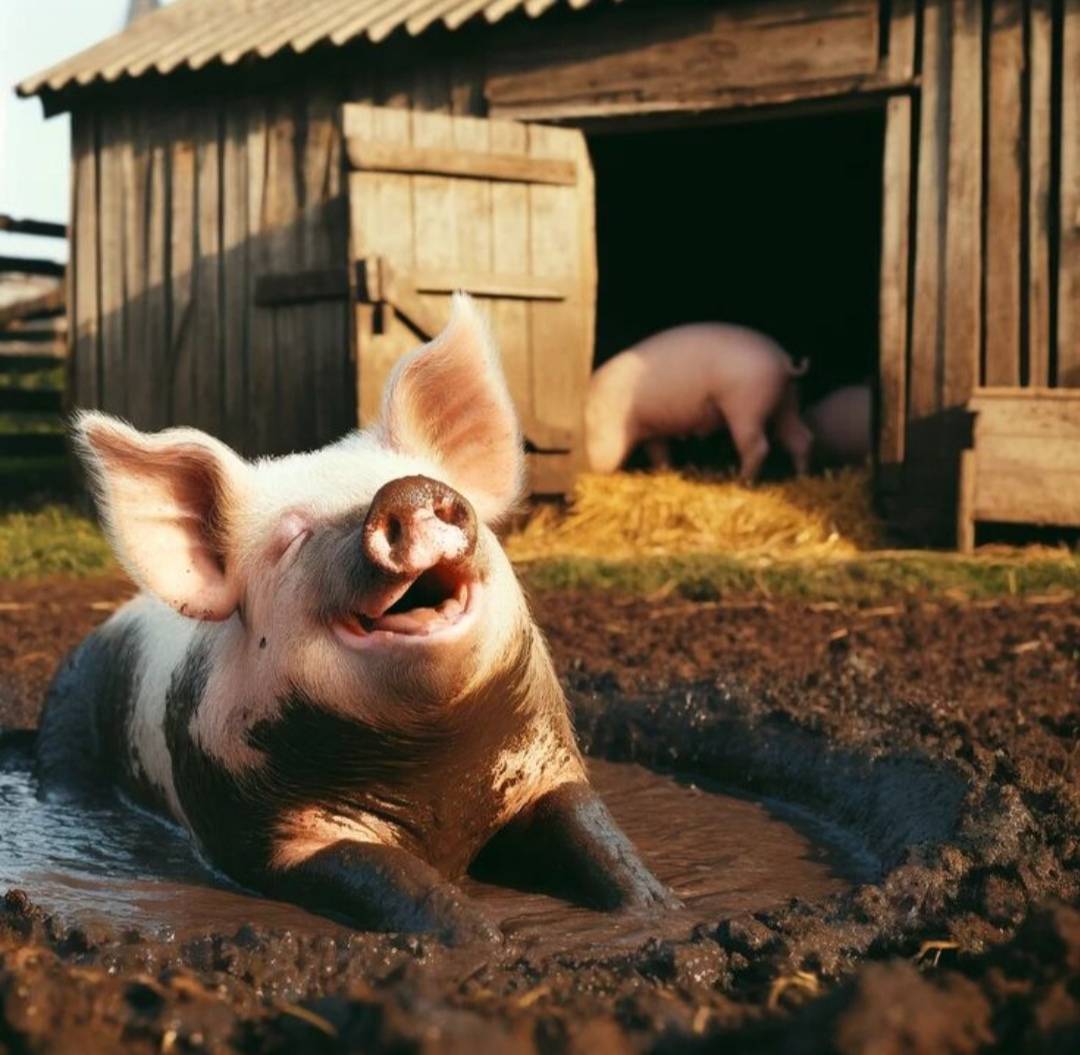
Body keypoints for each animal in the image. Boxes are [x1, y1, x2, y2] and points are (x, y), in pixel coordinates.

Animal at [38, 295, 675, 943]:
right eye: (291, 539)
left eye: (430, 484)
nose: (406, 491)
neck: (433, 765)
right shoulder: (277, 836)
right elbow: (396, 876)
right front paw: (481, 941)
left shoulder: (547, 761)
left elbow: (594, 835)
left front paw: (660, 912)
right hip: (66, 720)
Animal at [585, 323, 813, 481]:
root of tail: (783, 360)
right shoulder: (653, 431)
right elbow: (660, 455)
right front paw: (665, 473)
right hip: (788, 400)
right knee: (800, 437)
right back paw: (800, 478)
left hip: (746, 404)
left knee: (758, 447)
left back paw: (741, 481)